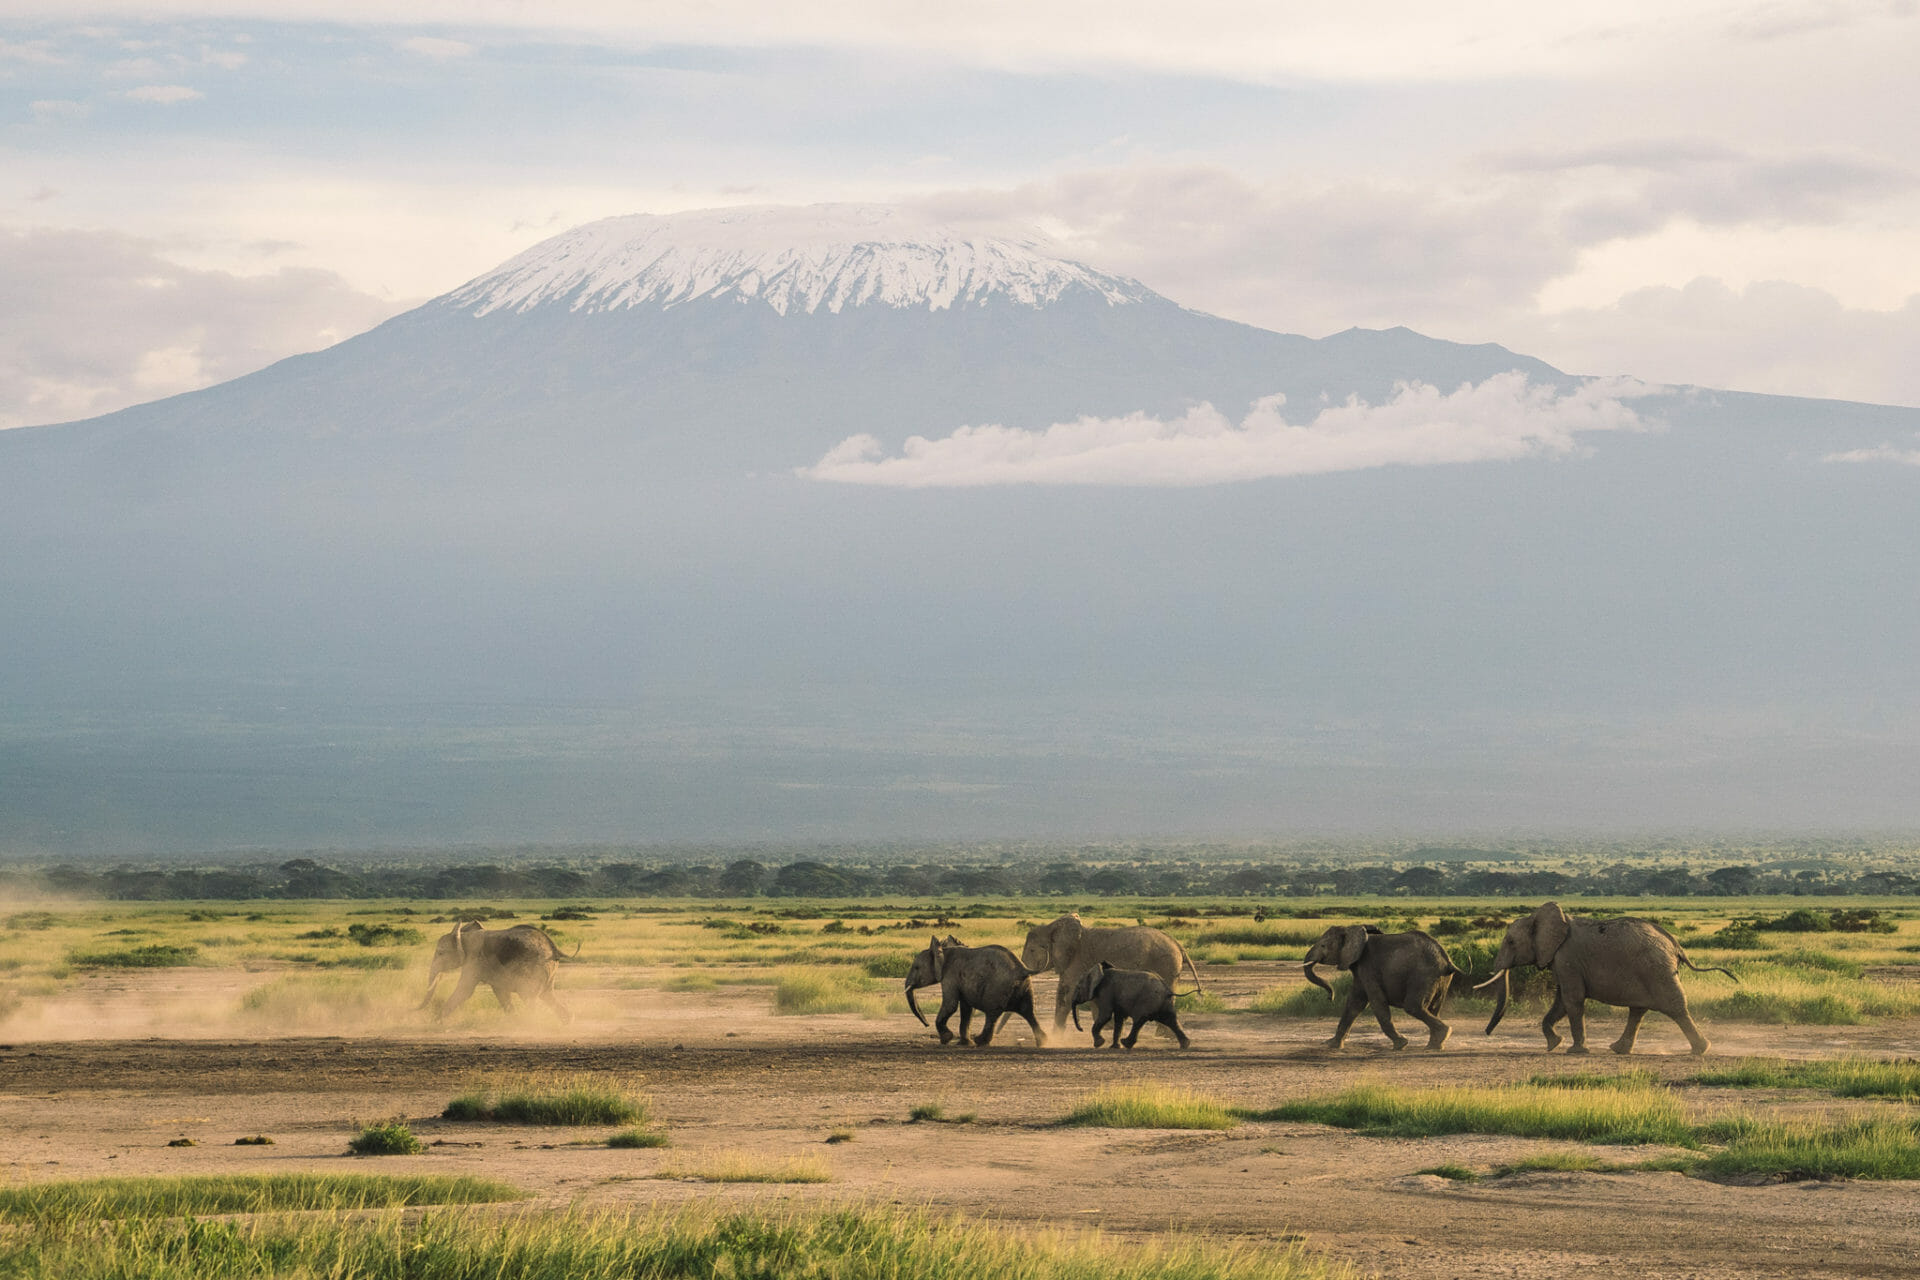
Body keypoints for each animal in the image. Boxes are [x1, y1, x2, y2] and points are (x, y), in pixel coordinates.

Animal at [420, 922, 577, 1022]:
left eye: (440, 953)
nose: (416, 1011)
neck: (464, 936)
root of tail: (554, 949)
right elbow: (500, 992)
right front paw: (514, 1020)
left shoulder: (474, 960)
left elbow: (465, 990)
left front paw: (435, 1022)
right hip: (547, 971)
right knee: (547, 995)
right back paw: (567, 1022)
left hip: (535, 968)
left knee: (529, 996)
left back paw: (532, 1024)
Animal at [903, 936, 1047, 1047]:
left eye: (916, 968)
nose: (926, 1025)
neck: (943, 951)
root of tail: (1023, 969)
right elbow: (967, 1010)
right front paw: (963, 1043)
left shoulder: (950, 976)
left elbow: (951, 1005)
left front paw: (946, 1039)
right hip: (1025, 987)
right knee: (1028, 1011)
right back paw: (1043, 1042)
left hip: (998, 988)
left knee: (992, 1014)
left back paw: (980, 1041)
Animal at [1020, 914, 1202, 1032]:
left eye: (1032, 950)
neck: (1052, 927)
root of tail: (1178, 945)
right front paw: (1104, 1028)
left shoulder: (1078, 961)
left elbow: (1067, 993)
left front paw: (1055, 1037)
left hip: (1165, 963)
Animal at [1302, 925, 1459, 1050]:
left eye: (1323, 945)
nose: (1330, 998)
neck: (1351, 930)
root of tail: (1447, 961)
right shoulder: (1360, 969)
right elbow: (1354, 1004)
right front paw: (1331, 1045)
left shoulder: (1368, 966)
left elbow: (1377, 1003)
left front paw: (1401, 1045)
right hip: (1440, 979)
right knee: (1433, 1009)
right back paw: (1434, 1045)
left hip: (1423, 975)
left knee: (1413, 1006)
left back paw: (1442, 1036)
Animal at [1477, 902, 1735, 1055]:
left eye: (1511, 941)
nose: (1487, 1033)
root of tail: (1676, 945)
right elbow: (1561, 1002)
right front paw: (1554, 1045)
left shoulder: (1567, 958)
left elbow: (1572, 1000)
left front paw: (1575, 1051)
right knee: (1638, 1010)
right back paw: (1618, 1049)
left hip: (1657, 969)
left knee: (1675, 1007)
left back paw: (1701, 1050)